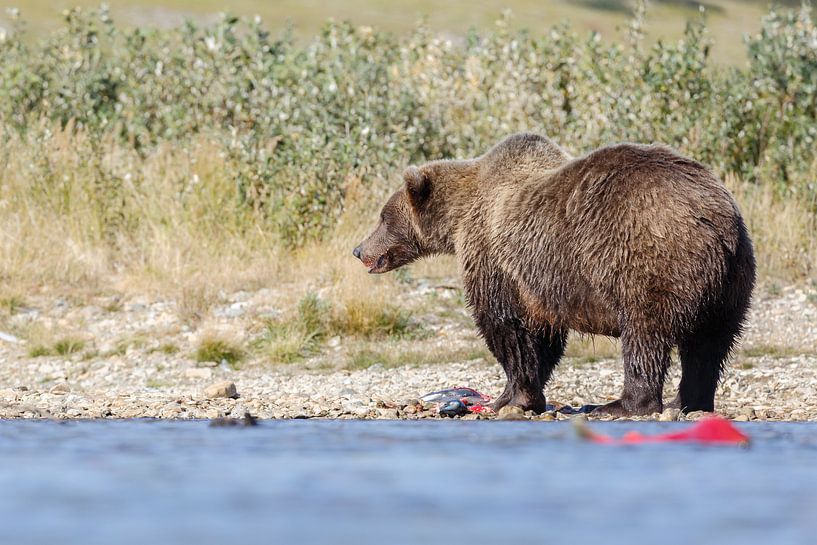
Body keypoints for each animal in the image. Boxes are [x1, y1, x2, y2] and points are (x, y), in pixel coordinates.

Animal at [353, 133, 755, 416]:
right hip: (731, 282)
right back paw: (688, 401)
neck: (460, 218)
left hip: (647, 259)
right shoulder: (540, 282)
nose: (359, 249)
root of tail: (715, 218)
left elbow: (506, 326)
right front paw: (522, 394)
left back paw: (621, 404)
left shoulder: (494, 257)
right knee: (710, 344)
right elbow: (543, 336)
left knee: (645, 334)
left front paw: (510, 397)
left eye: (383, 217)